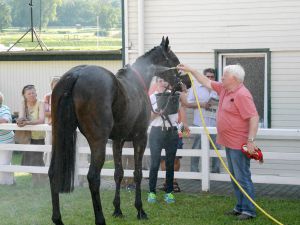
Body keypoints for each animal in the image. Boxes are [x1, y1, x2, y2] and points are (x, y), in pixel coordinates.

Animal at [48, 37, 185, 225]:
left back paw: (58, 219)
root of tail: (76, 75)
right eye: (175, 61)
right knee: (93, 177)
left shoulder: (117, 141)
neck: (136, 82)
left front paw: (118, 209)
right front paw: (140, 210)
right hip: (98, 143)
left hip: (59, 136)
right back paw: (100, 219)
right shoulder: (140, 138)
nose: (186, 83)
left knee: (53, 172)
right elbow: (137, 174)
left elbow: (118, 173)